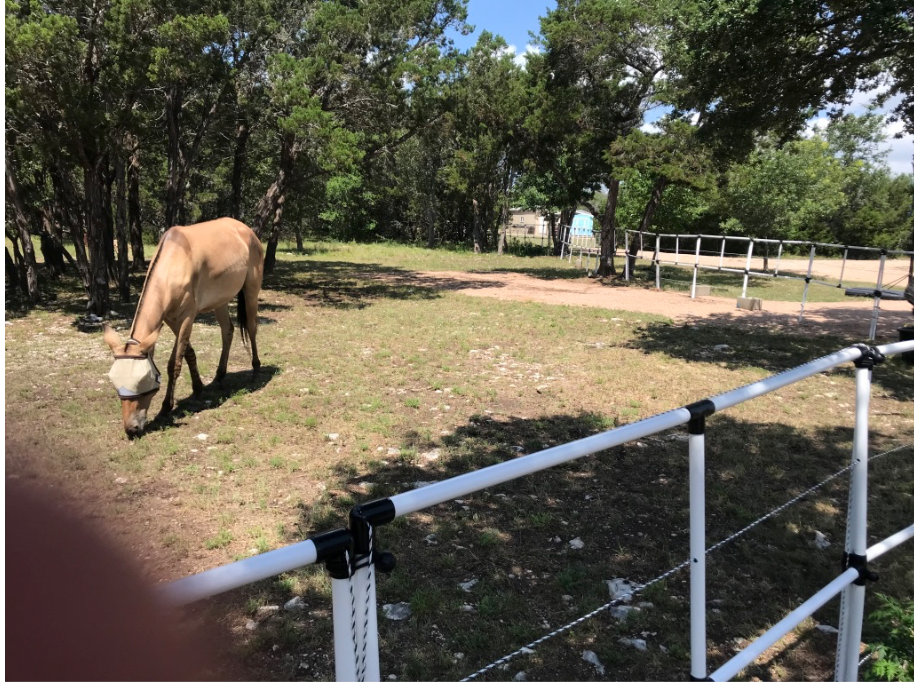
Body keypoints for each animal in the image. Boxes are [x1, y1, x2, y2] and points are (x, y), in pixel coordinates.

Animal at [104, 218, 263, 438]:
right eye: (115, 382)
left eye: (142, 381)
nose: (131, 429)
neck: (173, 264)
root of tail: (247, 231)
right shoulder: (171, 319)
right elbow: (188, 352)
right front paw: (198, 388)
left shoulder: (187, 317)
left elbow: (174, 363)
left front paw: (165, 407)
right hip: (220, 300)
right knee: (227, 331)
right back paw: (219, 376)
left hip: (251, 290)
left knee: (251, 327)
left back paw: (256, 368)